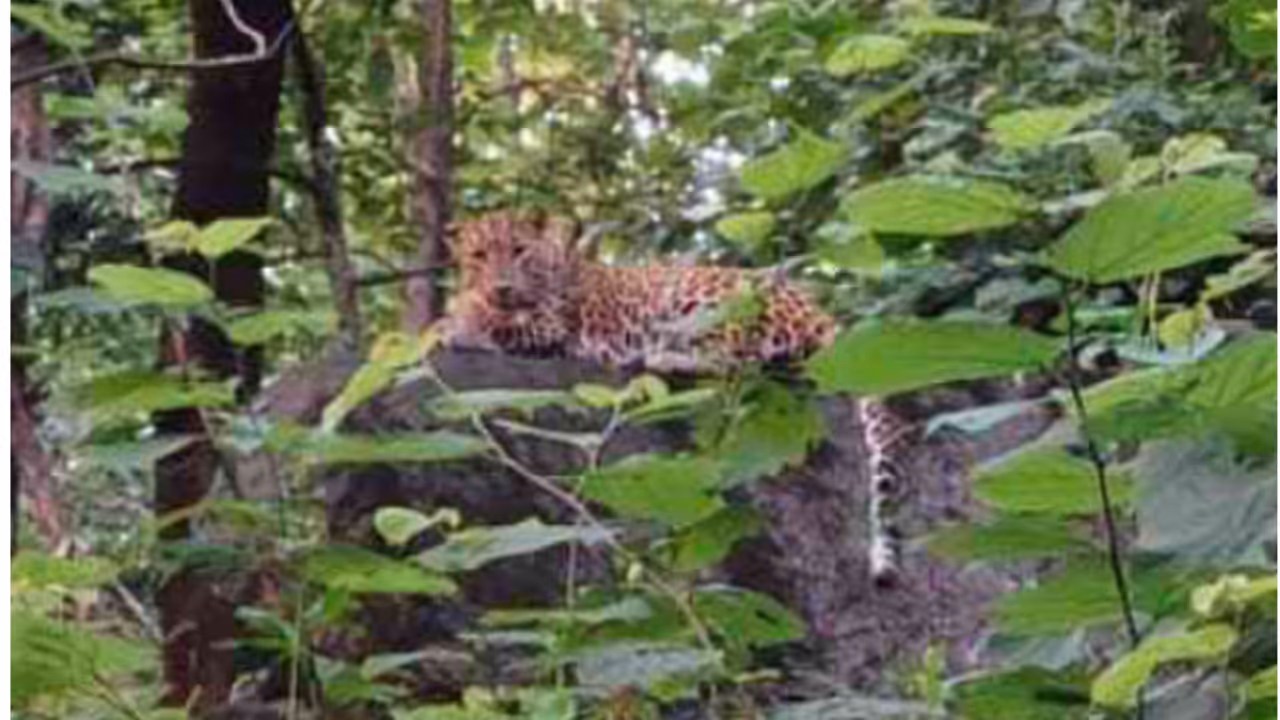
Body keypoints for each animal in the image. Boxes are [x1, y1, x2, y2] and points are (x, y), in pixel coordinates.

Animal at [435, 211, 912, 583]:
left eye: (518, 251)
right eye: (479, 256)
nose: (501, 286)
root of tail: (819, 310)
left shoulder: (554, 328)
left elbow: (496, 322)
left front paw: (458, 324)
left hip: (706, 297)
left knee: (737, 362)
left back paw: (660, 356)